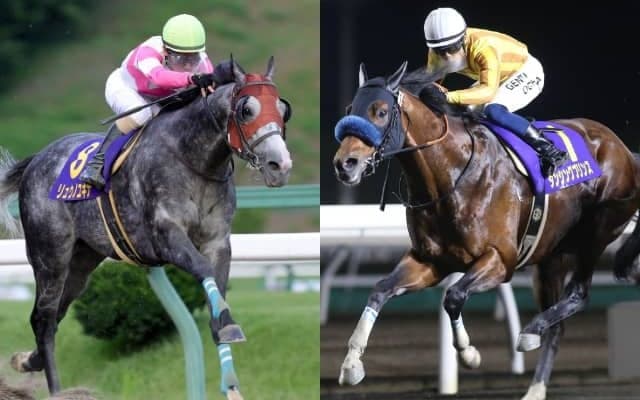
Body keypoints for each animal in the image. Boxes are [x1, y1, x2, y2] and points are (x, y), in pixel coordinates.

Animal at [0, 57, 293, 400]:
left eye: (283, 109)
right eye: (247, 109)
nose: (280, 165)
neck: (193, 158)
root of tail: (36, 161)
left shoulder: (218, 241)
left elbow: (217, 296)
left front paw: (230, 370)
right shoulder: (165, 235)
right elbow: (203, 269)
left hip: (82, 261)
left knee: (54, 315)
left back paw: (26, 360)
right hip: (50, 255)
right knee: (44, 319)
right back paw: (58, 389)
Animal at [331, 61, 640, 400]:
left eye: (381, 111)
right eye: (349, 109)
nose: (345, 164)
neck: (451, 174)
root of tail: (624, 150)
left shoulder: (500, 260)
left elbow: (453, 295)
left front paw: (469, 354)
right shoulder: (430, 261)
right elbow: (380, 290)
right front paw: (351, 364)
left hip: (595, 234)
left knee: (579, 294)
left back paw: (529, 333)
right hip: (551, 258)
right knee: (557, 324)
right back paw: (535, 387)